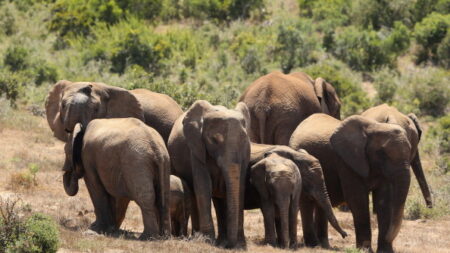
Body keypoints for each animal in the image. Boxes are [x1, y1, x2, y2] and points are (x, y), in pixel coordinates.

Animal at [167, 100, 251, 248]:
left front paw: (240, 245)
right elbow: (203, 186)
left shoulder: (245, 153)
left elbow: (240, 188)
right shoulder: (196, 148)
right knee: (194, 194)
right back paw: (198, 237)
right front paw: (207, 241)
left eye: (243, 140)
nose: (230, 246)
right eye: (214, 140)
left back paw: (220, 240)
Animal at [290, 113, 414, 252]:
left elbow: (384, 201)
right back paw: (313, 245)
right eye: (382, 153)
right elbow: (357, 199)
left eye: (411, 151)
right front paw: (365, 250)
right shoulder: (346, 161)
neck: (375, 127)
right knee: (307, 202)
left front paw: (385, 251)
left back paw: (324, 245)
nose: (345, 236)